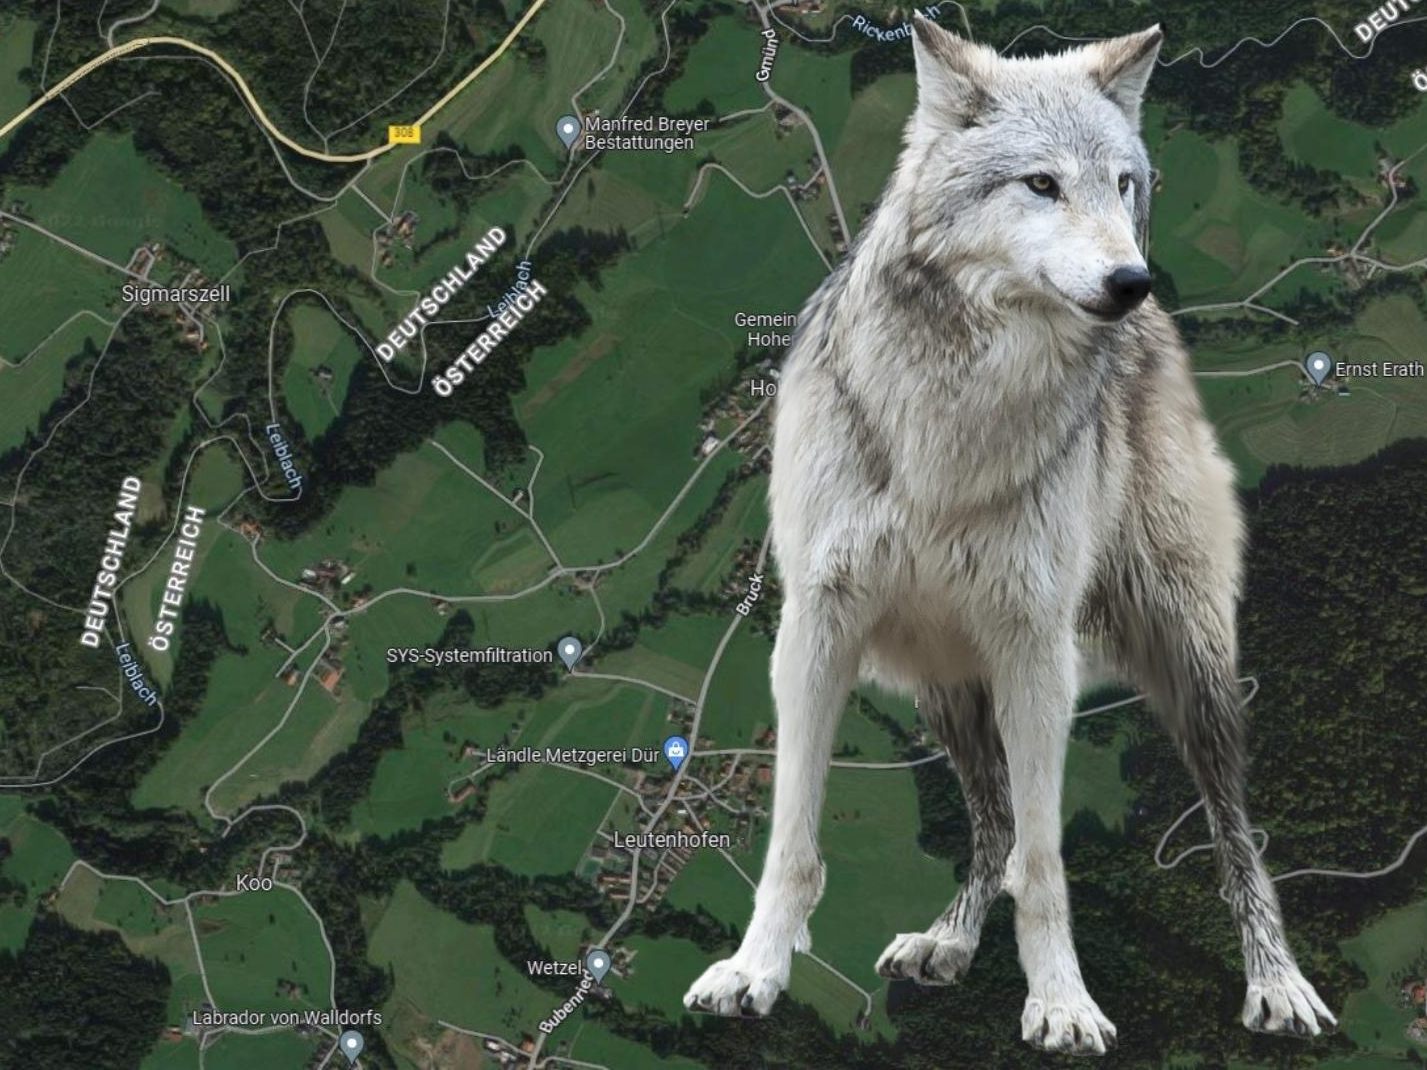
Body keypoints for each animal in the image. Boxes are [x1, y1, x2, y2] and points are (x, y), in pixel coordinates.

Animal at [682, 16, 1335, 1055]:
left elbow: (1044, 863)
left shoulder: (1035, 646)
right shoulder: (816, 630)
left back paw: (1275, 984)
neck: (951, 423)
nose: (1130, 281)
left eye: (1121, 184)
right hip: (944, 682)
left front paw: (1061, 1002)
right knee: (988, 820)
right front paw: (755, 972)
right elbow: (794, 843)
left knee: (1232, 833)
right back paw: (947, 941)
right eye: (1040, 184)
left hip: (1188, 667)